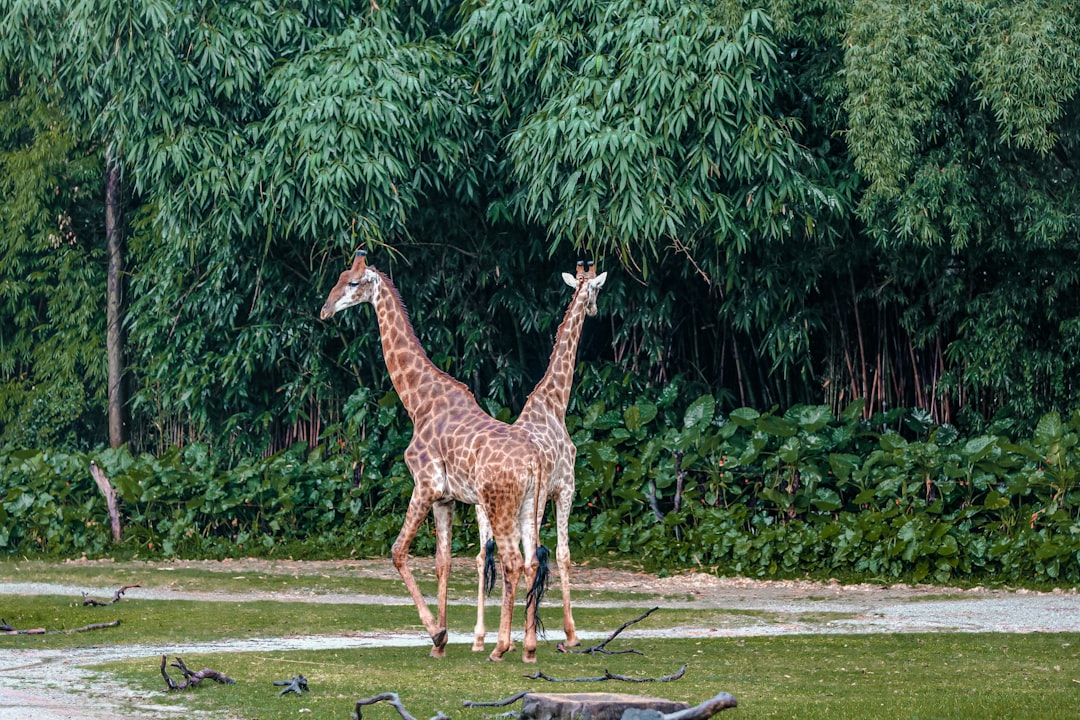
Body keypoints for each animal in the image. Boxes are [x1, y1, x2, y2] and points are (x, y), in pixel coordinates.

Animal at [315, 250, 544, 660]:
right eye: (338, 277)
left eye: (353, 283)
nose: (325, 310)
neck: (417, 402)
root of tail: (533, 461)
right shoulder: (445, 498)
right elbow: (443, 563)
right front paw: (441, 640)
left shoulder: (424, 484)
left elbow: (397, 552)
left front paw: (436, 634)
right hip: (528, 503)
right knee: (532, 562)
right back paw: (529, 648)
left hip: (499, 503)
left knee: (513, 561)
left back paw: (500, 647)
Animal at [473, 262, 609, 651]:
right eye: (596, 290)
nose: (595, 310)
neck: (554, 402)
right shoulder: (565, 488)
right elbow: (562, 553)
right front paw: (570, 632)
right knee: (522, 556)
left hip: (482, 507)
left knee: (483, 556)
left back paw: (481, 637)